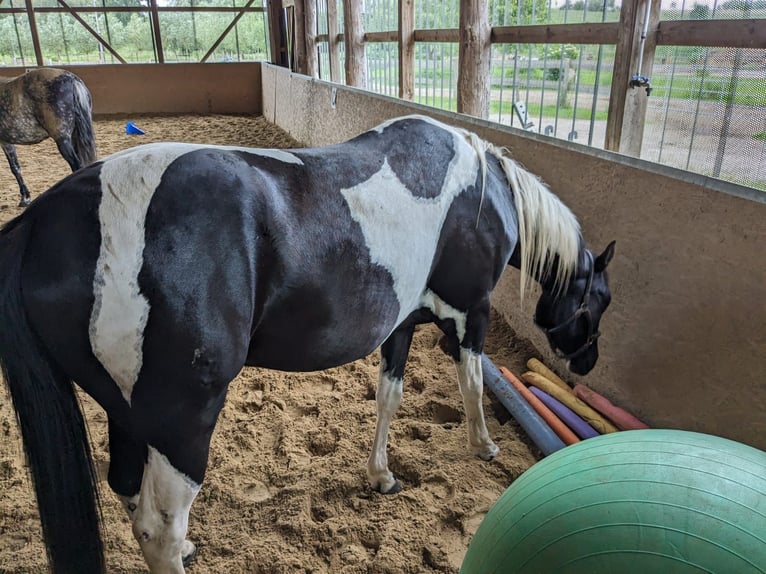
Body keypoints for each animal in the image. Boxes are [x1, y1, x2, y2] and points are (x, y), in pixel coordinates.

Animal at [0, 115, 616, 572]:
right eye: (599, 301)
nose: (586, 362)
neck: (482, 189)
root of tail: (44, 221)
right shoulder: (472, 314)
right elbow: (471, 383)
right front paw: (484, 446)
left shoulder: (402, 326)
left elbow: (389, 398)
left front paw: (381, 475)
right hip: (182, 421)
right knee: (159, 530)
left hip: (126, 412)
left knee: (129, 492)